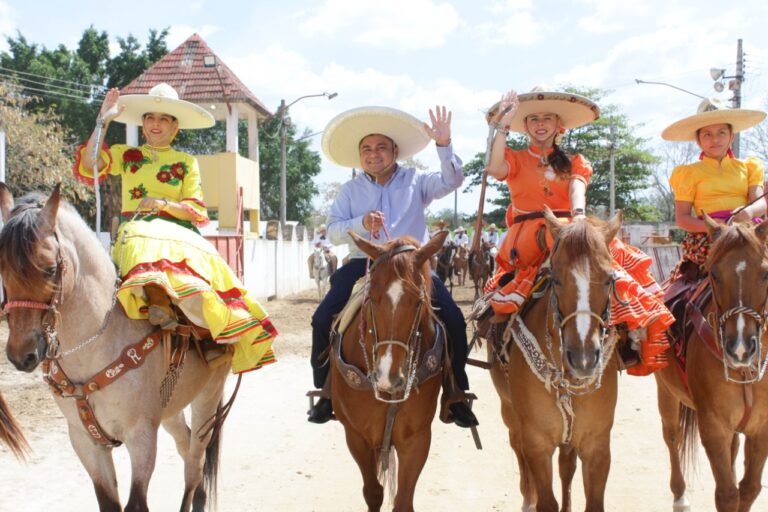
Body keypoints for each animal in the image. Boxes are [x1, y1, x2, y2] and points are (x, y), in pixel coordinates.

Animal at [0, 184, 231, 512]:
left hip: (208, 399)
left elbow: (136, 503)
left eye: (48, 269)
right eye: (1, 269)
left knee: (194, 466)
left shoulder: (141, 436)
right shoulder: (85, 442)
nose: (22, 354)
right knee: (186, 448)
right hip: (170, 410)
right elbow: (109, 502)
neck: (98, 345)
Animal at [332, 230, 450, 510]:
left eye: (418, 301)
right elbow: (373, 492)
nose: (388, 378)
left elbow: (403, 502)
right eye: (371, 298)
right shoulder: (356, 437)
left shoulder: (416, 439)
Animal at [486, 209, 624, 512]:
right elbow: (545, 500)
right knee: (517, 447)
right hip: (510, 411)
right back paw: (527, 498)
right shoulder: (537, 443)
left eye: (609, 279)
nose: (583, 358)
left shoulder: (597, 445)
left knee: (566, 465)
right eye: (556, 278)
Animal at [656, 216, 768, 512]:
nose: (740, 348)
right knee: (672, 436)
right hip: (666, 392)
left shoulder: (762, 427)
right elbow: (728, 495)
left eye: (765, 274)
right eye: (714, 274)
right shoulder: (714, 427)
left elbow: (749, 489)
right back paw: (680, 496)